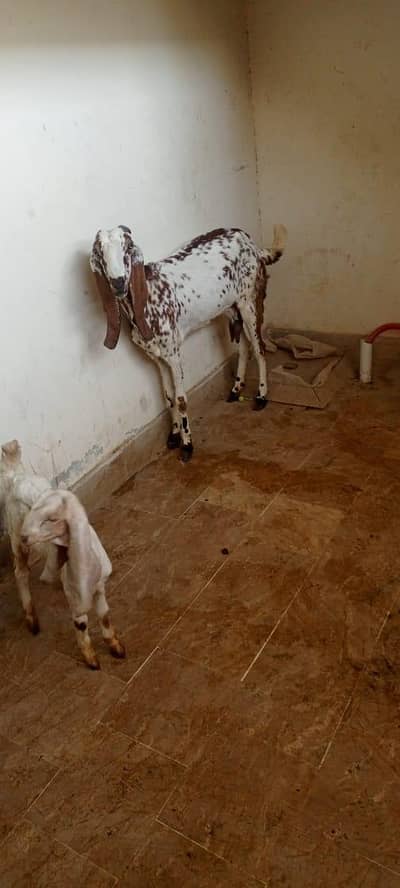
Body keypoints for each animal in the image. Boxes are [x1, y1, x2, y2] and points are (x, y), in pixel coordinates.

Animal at [21, 488, 125, 670]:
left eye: (52, 519)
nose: (24, 537)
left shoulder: (100, 586)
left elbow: (104, 614)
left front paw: (116, 647)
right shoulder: (74, 593)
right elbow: (81, 624)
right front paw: (91, 660)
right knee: (21, 573)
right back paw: (31, 619)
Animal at [90, 224, 287, 461]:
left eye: (127, 248)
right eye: (100, 252)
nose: (118, 282)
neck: (150, 296)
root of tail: (251, 244)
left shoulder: (174, 353)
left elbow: (181, 400)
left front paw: (187, 445)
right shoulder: (157, 357)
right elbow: (168, 397)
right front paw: (174, 435)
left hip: (247, 299)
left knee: (259, 348)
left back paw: (261, 396)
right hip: (229, 308)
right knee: (243, 346)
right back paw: (235, 389)